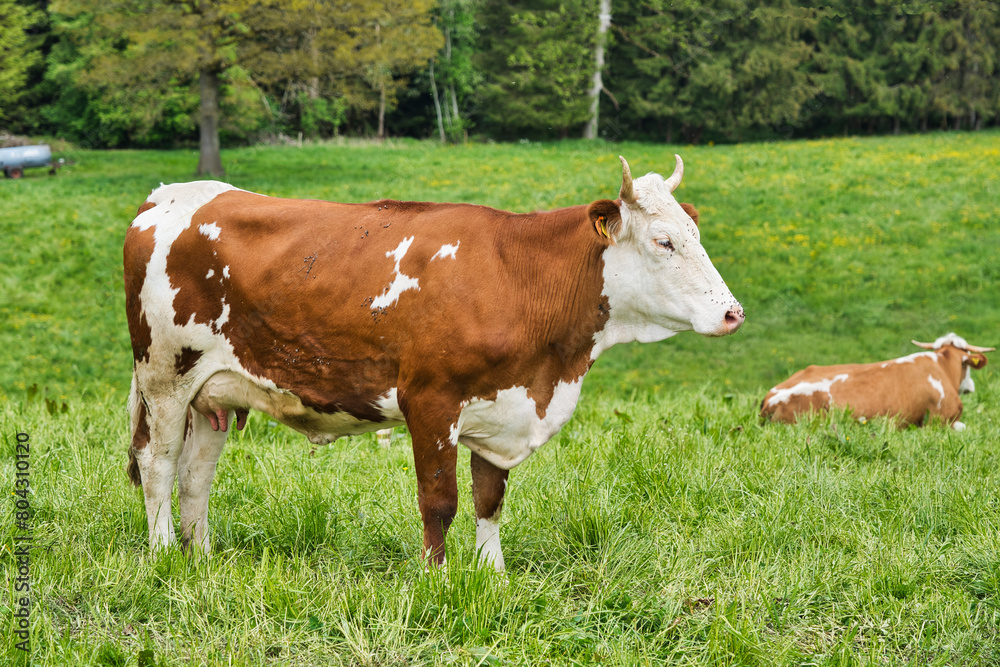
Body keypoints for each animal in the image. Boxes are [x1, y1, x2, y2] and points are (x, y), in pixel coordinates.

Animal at [125, 155, 744, 568]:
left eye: (694, 232)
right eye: (664, 241)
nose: (733, 313)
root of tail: (169, 194)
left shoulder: (502, 406)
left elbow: (490, 500)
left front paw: (492, 576)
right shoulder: (429, 399)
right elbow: (440, 501)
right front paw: (437, 577)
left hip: (214, 390)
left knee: (196, 475)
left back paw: (203, 556)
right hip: (164, 375)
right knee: (158, 464)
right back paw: (166, 556)